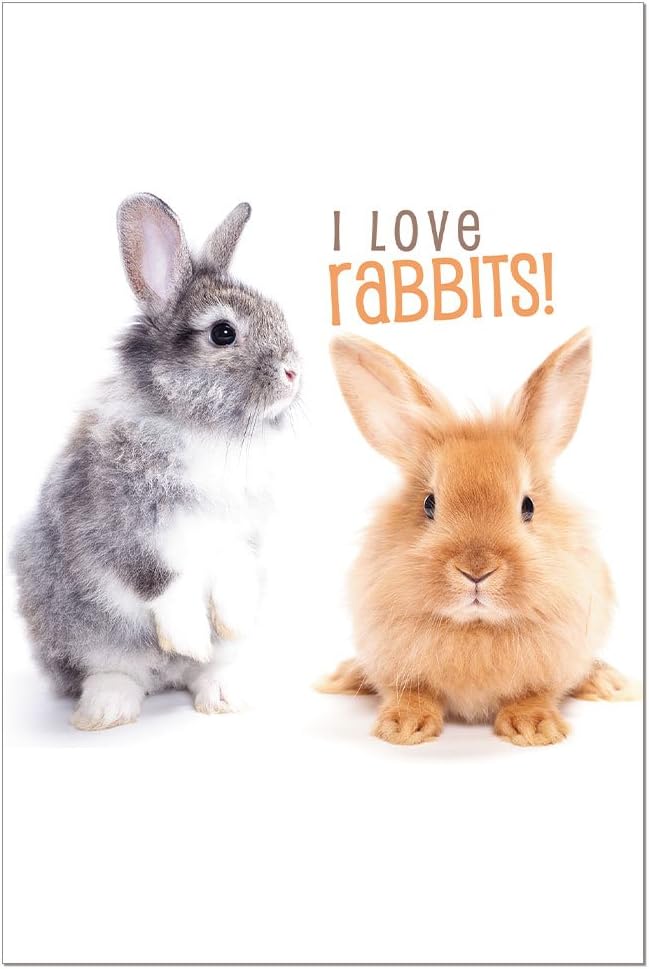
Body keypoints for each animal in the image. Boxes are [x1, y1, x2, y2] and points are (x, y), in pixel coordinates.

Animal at [11, 193, 301, 730]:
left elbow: (232, 574)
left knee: (203, 673)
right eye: (223, 333)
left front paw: (229, 624)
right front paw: (190, 638)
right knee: (115, 672)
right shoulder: (116, 529)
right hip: (86, 634)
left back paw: (223, 693)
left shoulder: (239, 535)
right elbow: (161, 580)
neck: (200, 426)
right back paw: (107, 710)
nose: (294, 372)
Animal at [317, 331, 638, 746]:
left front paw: (534, 729)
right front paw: (403, 728)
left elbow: (536, 693)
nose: (476, 570)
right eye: (429, 503)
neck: (475, 627)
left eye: (528, 506)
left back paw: (608, 683)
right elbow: (410, 691)